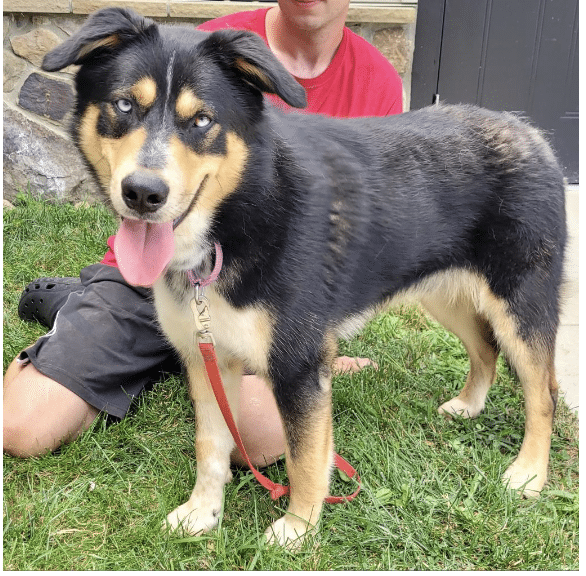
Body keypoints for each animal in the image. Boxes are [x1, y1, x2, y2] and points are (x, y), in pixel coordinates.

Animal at [43, 7, 564, 548]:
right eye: (124, 105)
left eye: (202, 120)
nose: (143, 193)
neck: (236, 218)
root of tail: (529, 132)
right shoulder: (206, 358)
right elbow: (211, 446)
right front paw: (203, 513)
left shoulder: (299, 365)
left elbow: (304, 458)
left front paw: (299, 528)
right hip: (444, 294)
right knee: (485, 349)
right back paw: (469, 405)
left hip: (521, 303)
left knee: (543, 392)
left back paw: (529, 474)